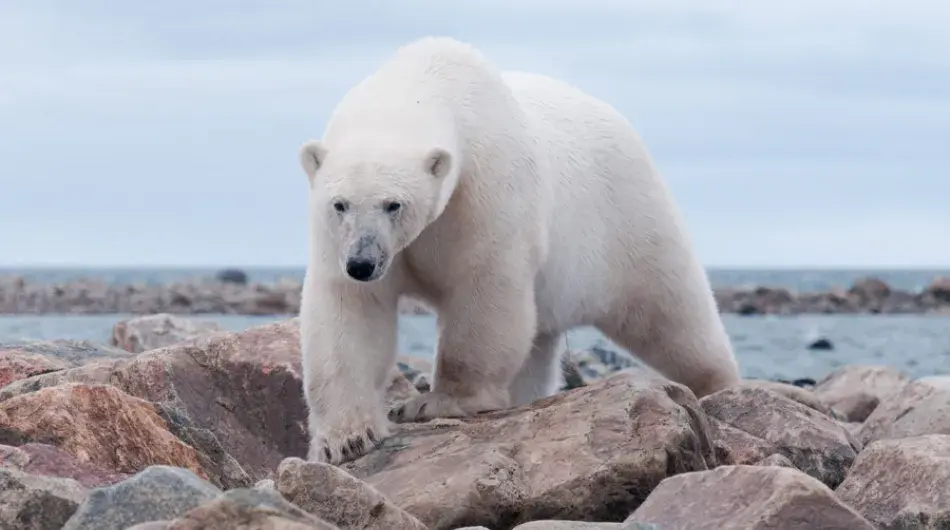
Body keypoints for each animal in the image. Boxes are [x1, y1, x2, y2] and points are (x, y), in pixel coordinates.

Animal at [297, 36, 741, 465]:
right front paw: (345, 438)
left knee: (670, 312)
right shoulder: (337, 240)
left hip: (627, 217)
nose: (363, 263)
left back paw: (719, 387)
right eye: (340, 204)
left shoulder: (485, 189)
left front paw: (435, 402)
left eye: (394, 204)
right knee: (539, 343)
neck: (429, 79)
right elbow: (351, 312)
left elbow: (485, 290)